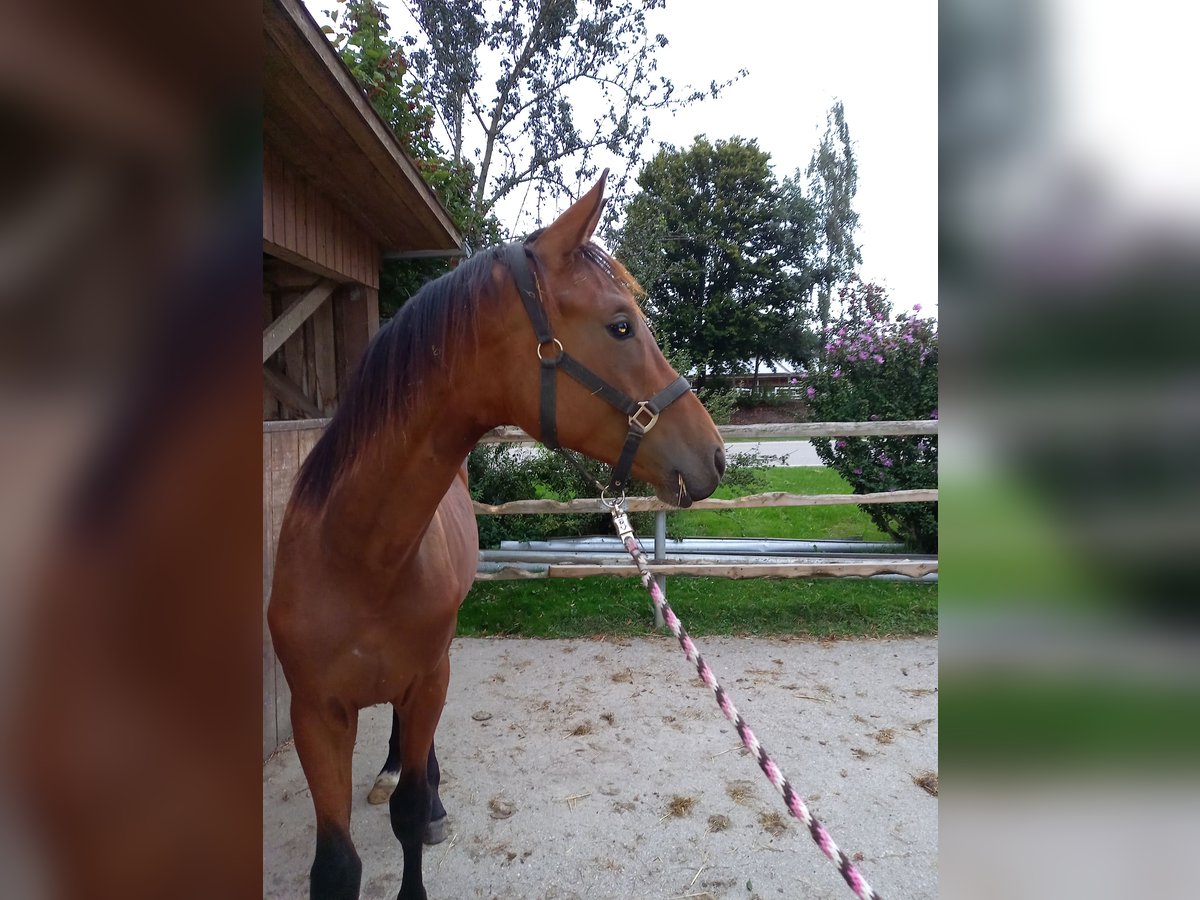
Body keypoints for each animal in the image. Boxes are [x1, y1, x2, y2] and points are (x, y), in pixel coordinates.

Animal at [268, 172, 724, 897]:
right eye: (621, 325)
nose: (715, 455)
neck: (358, 557)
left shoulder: (427, 677)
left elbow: (407, 815)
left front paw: (424, 810)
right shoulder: (315, 714)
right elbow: (336, 864)